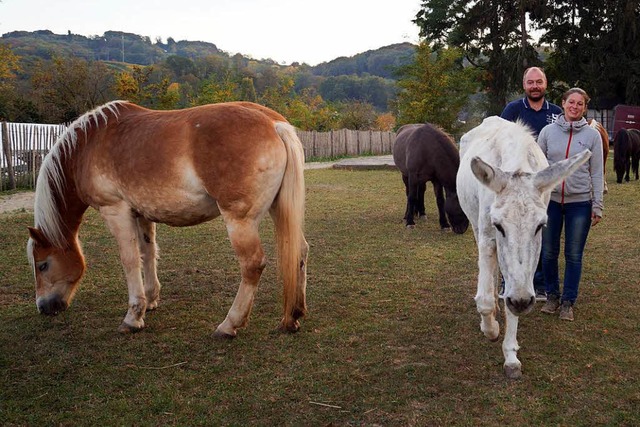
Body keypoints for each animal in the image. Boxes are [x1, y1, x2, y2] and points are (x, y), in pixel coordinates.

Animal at [28, 102, 310, 340]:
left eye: (43, 265)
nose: (42, 307)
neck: (89, 145)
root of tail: (274, 124)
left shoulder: (116, 211)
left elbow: (130, 260)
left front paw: (133, 317)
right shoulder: (140, 214)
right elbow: (147, 253)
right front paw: (151, 300)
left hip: (240, 221)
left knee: (252, 265)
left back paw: (229, 324)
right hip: (277, 208)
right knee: (300, 251)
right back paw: (293, 316)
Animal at [456, 116, 592, 378]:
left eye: (541, 225)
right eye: (498, 225)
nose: (522, 302)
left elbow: (513, 291)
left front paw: (510, 356)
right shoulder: (487, 236)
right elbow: (484, 299)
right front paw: (491, 329)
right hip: (475, 226)